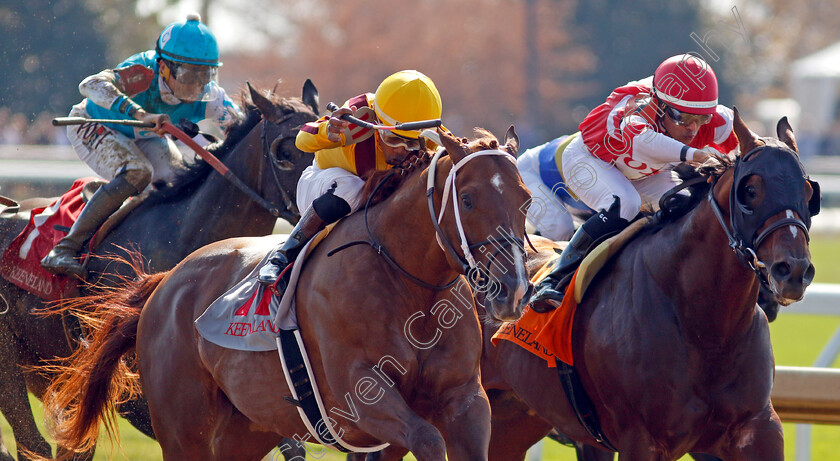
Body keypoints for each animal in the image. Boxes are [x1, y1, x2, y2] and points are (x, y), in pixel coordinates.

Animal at [42, 126, 528, 460]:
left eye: (525, 200)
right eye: (467, 199)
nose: (513, 289)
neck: (408, 288)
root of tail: (166, 282)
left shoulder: (463, 399)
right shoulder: (364, 394)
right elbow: (427, 439)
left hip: (246, 429)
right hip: (184, 430)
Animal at [482, 111, 816, 460]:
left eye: (809, 193)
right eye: (750, 190)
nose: (793, 270)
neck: (708, 331)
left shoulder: (756, 428)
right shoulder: (641, 440)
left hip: (512, 422)